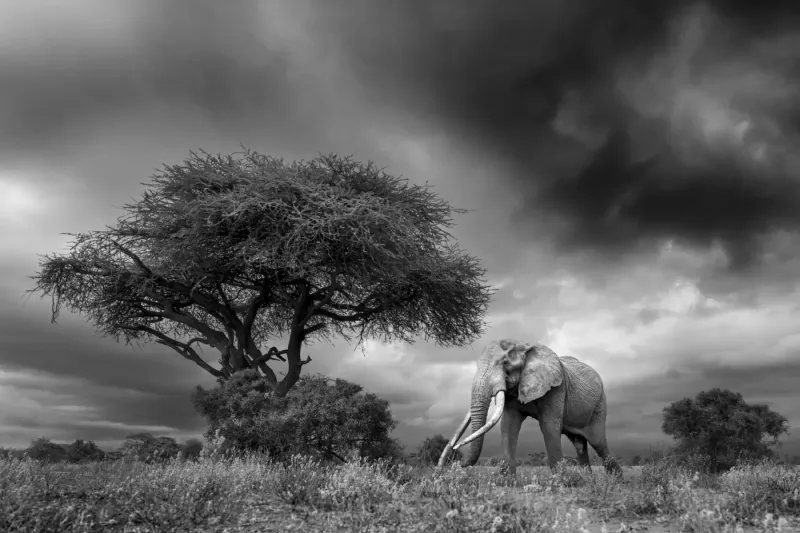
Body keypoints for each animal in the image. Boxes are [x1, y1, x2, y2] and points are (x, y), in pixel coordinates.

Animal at [437, 339, 621, 478]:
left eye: (505, 363)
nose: (456, 462)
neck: (524, 347)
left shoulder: (557, 387)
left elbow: (549, 426)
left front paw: (560, 482)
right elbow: (508, 426)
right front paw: (506, 482)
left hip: (600, 404)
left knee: (598, 442)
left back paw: (616, 481)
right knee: (580, 445)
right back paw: (589, 481)